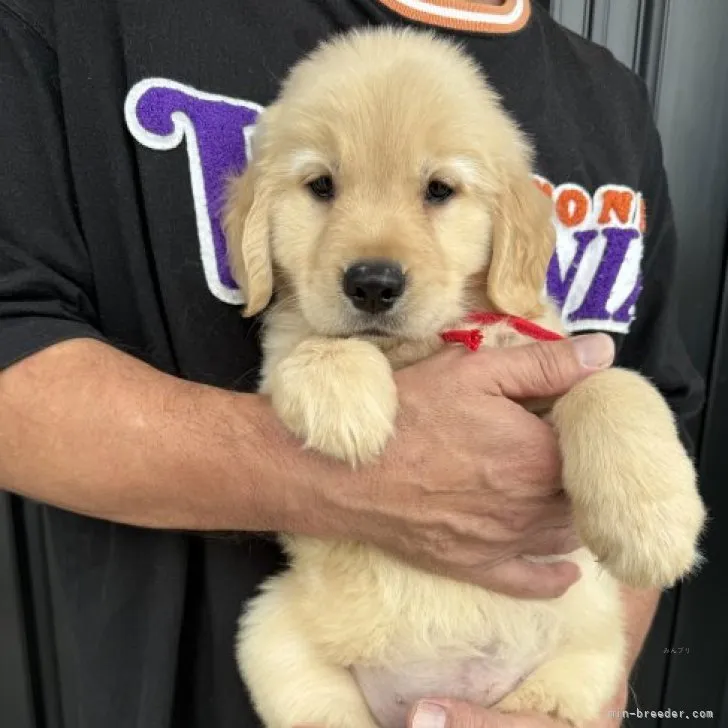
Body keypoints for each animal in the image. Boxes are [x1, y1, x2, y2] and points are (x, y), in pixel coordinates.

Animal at [222, 27, 704, 728]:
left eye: (439, 190)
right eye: (322, 185)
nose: (372, 283)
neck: (419, 346)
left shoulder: (544, 352)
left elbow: (612, 384)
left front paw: (652, 524)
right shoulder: (284, 344)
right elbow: (309, 344)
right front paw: (346, 400)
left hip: (579, 672)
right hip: (274, 639)